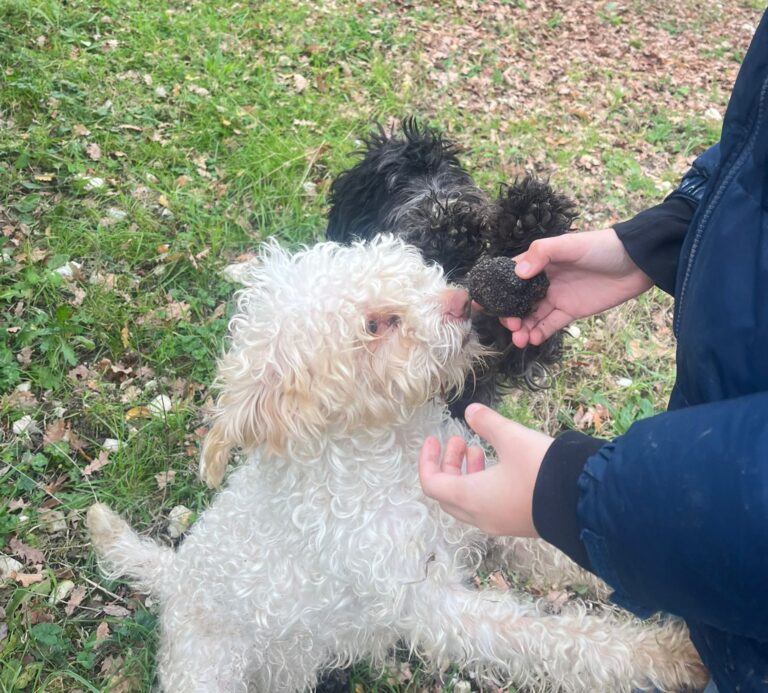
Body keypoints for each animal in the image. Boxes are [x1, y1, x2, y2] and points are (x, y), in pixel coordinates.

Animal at [87, 238, 704, 692]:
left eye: (409, 270)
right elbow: (543, 636)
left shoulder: (480, 516)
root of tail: (175, 576)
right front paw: (666, 654)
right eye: (375, 325)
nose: (461, 300)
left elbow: (568, 549)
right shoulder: (426, 604)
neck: (387, 456)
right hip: (212, 670)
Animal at [326, 119, 576, 416]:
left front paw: (532, 216)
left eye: (446, 168)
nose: (446, 201)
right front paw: (451, 227)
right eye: (394, 181)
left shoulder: (505, 353)